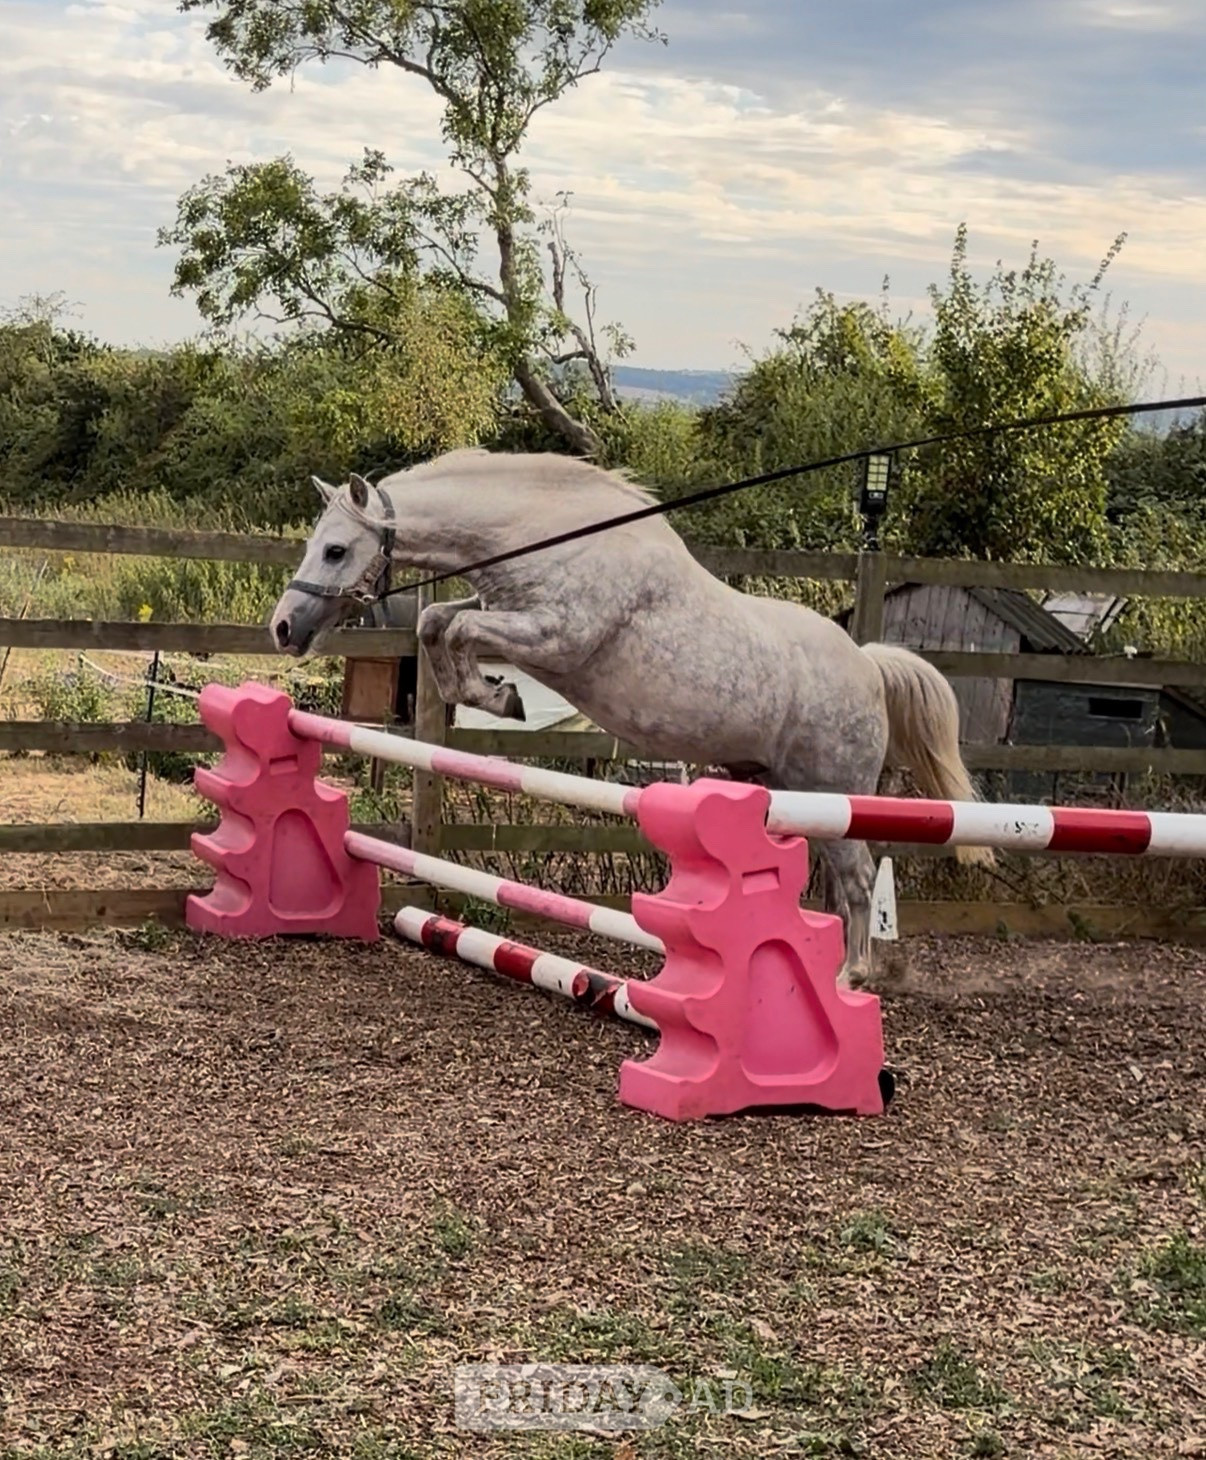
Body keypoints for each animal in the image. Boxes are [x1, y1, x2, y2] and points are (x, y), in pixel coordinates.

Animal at [269, 447, 990, 985]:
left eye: (335, 551)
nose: (282, 628)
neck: (546, 536)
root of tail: (867, 664)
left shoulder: (554, 636)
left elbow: (456, 628)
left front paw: (499, 695)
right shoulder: (504, 614)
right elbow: (437, 622)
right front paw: (491, 692)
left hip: (831, 789)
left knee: (859, 877)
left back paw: (850, 979)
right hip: (783, 791)